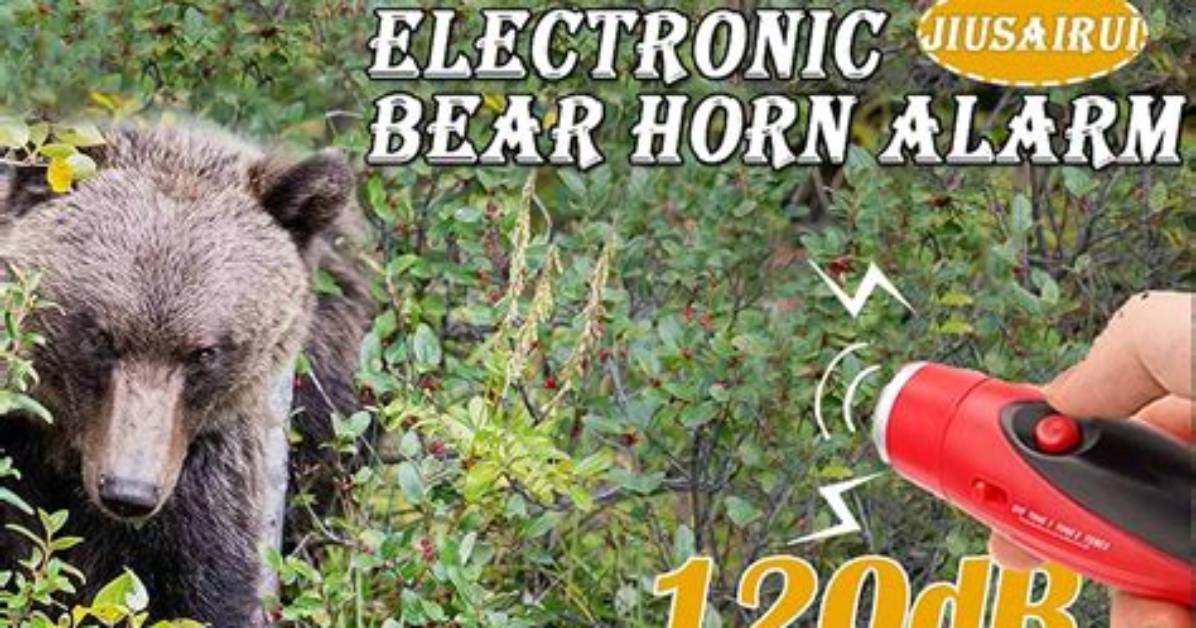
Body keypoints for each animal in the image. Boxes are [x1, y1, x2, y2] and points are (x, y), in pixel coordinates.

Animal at [0, 121, 374, 625]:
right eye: (101, 336)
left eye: (204, 352)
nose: (129, 492)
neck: (63, 450)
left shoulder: (209, 476)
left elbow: (201, 590)